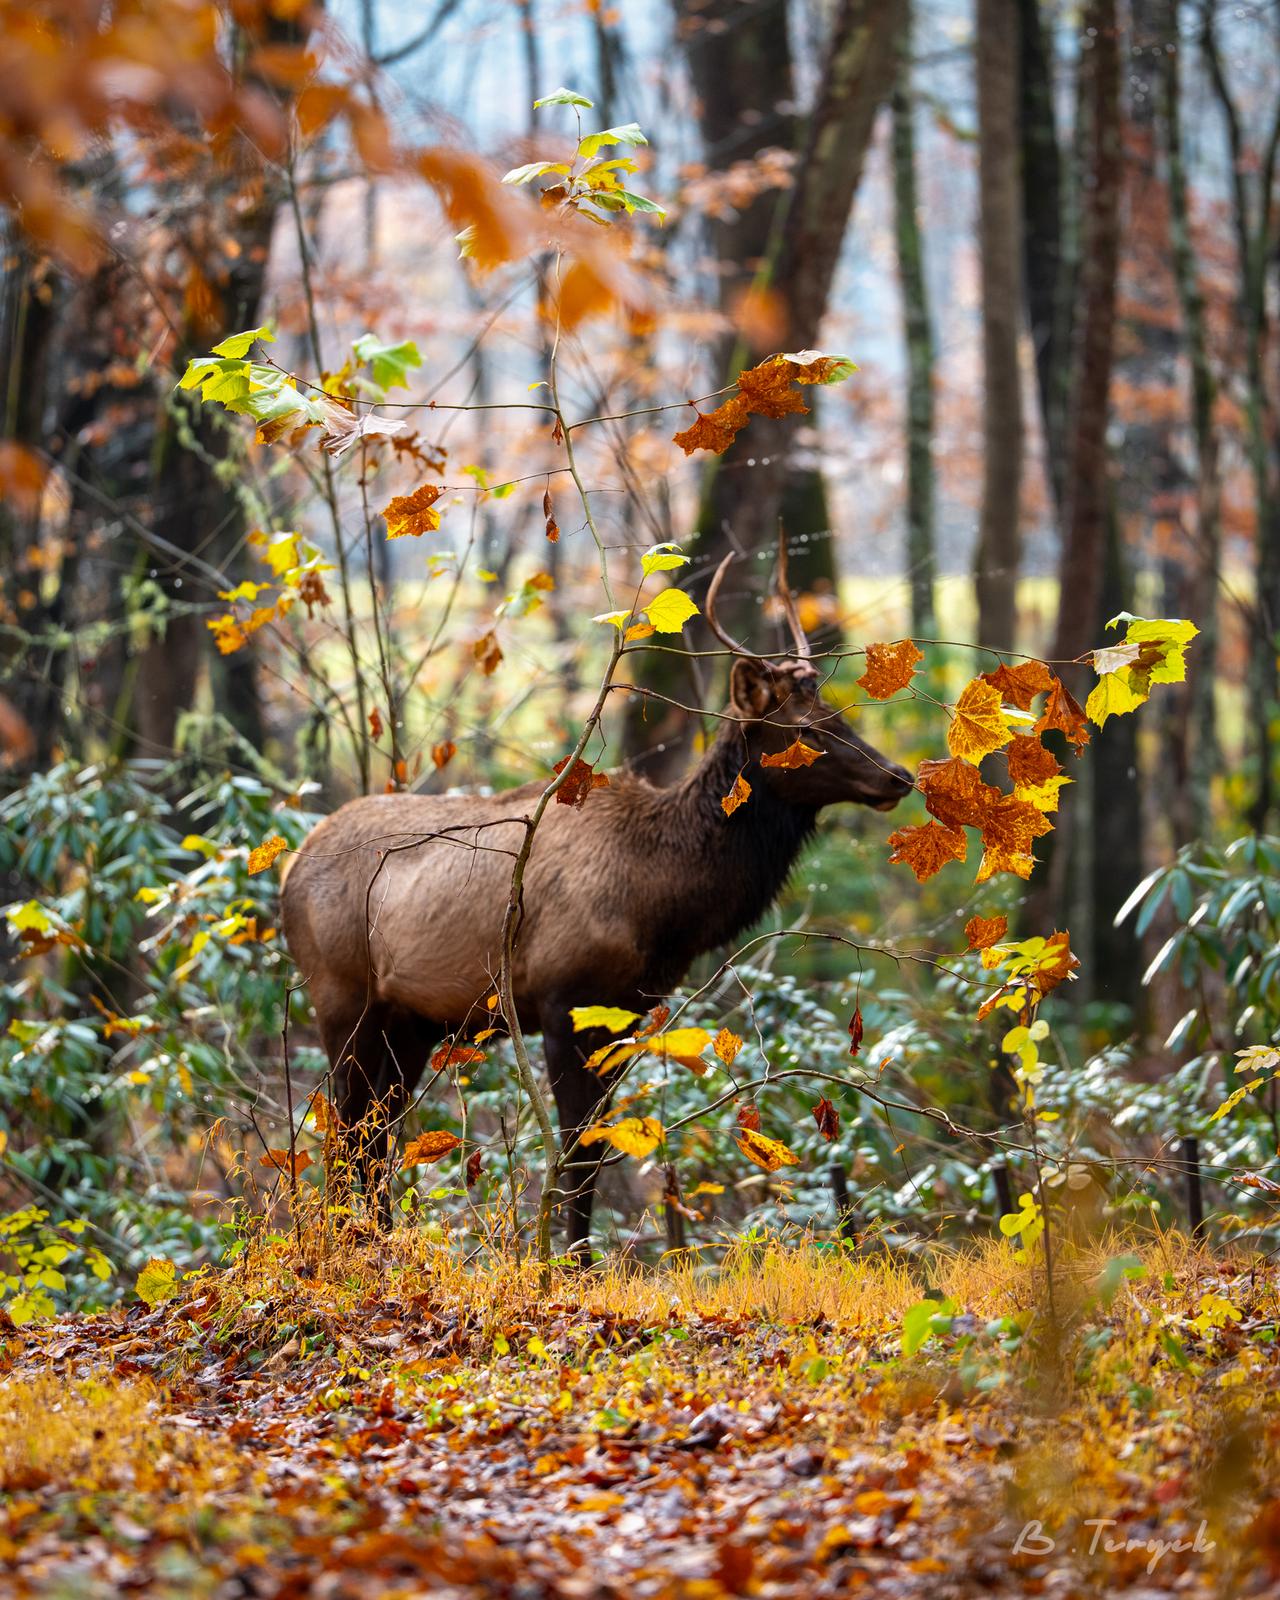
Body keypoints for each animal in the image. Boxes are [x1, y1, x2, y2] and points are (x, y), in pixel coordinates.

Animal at [280, 549, 914, 1255]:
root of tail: (291, 868)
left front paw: (578, 1260)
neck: (665, 900)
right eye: (805, 729)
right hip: (342, 996)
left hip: (409, 1023)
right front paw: (564, 1262)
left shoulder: (625, 1013)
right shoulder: (563, 1001)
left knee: (371, 1137)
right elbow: (573, 1153)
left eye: (841, 715)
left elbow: (593, 1151)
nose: (899, 777)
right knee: (346, 1137)